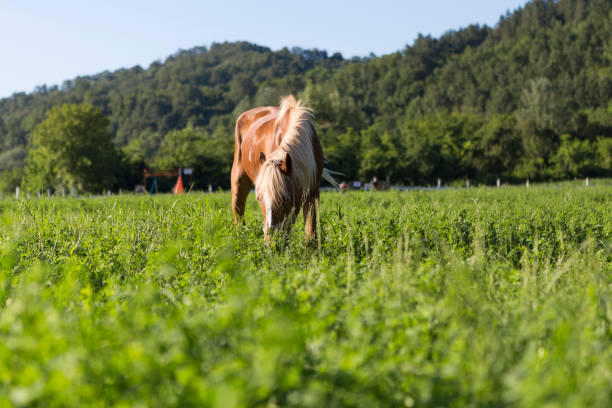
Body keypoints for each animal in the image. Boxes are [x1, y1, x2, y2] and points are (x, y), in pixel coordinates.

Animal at [231, 95, 334, 242]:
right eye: (259, 198)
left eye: (285, 198)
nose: (270, 240)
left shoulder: (312, 191)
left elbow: (310, 232)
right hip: (238, 177)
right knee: (238, 213)